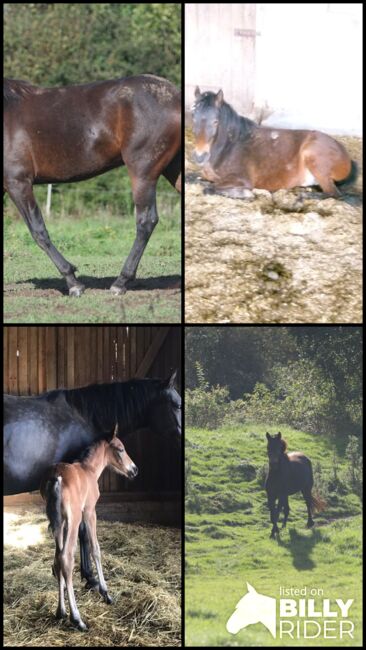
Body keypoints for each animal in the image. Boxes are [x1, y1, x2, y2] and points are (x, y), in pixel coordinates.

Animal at [4, 74, 182, 294]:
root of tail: (176, 96)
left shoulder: (17, 182)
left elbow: (38, 231)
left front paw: (73, 282)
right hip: (173, 169)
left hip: (143, 172)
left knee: (146, 221)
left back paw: (120, 282)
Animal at [39, 420, 137, 628]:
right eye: (121, 449)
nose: (134, 470)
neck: (89, 469)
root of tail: (56, 477)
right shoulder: (90, 511)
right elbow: (95, 548)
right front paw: (105, 592)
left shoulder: (66, 520)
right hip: (74, 518)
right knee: (66, 558)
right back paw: (77, 618)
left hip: (58, 522)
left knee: (57, 559)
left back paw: (61, 612)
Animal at [192, 86, 354, 197]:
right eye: (193, 117)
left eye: (215, 121)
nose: (200, 156)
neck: (229, 147)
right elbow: (196, 179)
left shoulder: (241, 179)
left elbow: (210, 188)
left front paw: (246, 194)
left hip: (312, 156)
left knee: (333, 194)